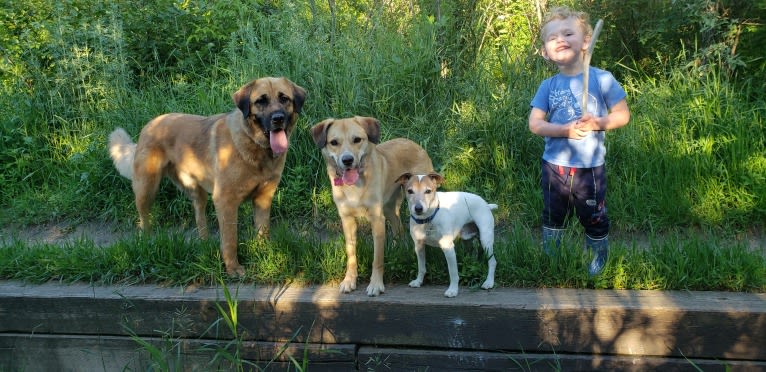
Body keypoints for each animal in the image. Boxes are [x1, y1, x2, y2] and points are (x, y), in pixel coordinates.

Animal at [109, 77, 308, 274]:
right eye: (261, 101)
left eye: (284, 98)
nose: (278, 119)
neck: (254, 146)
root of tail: (150, 124)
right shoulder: (225, 201)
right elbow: (230, 239)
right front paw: (233, 268)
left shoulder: (264, 198)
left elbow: (263, 230)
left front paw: (264, 254)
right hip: (146, 188)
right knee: (143, 220)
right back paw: (147, 242)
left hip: (197, 192)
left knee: (199, 218)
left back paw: (204, 243)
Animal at [310, 116, 432, 296]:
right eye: (334, 142)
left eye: (357, 139)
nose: (347, 160)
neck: (354, 186)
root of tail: (413, 143)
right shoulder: (347, 220)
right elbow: (351, 255)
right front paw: (349, 280)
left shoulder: (377, 219)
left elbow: (377, 259)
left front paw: (375, 284)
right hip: (388, 208)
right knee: (398, 227)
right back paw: (395, 247)